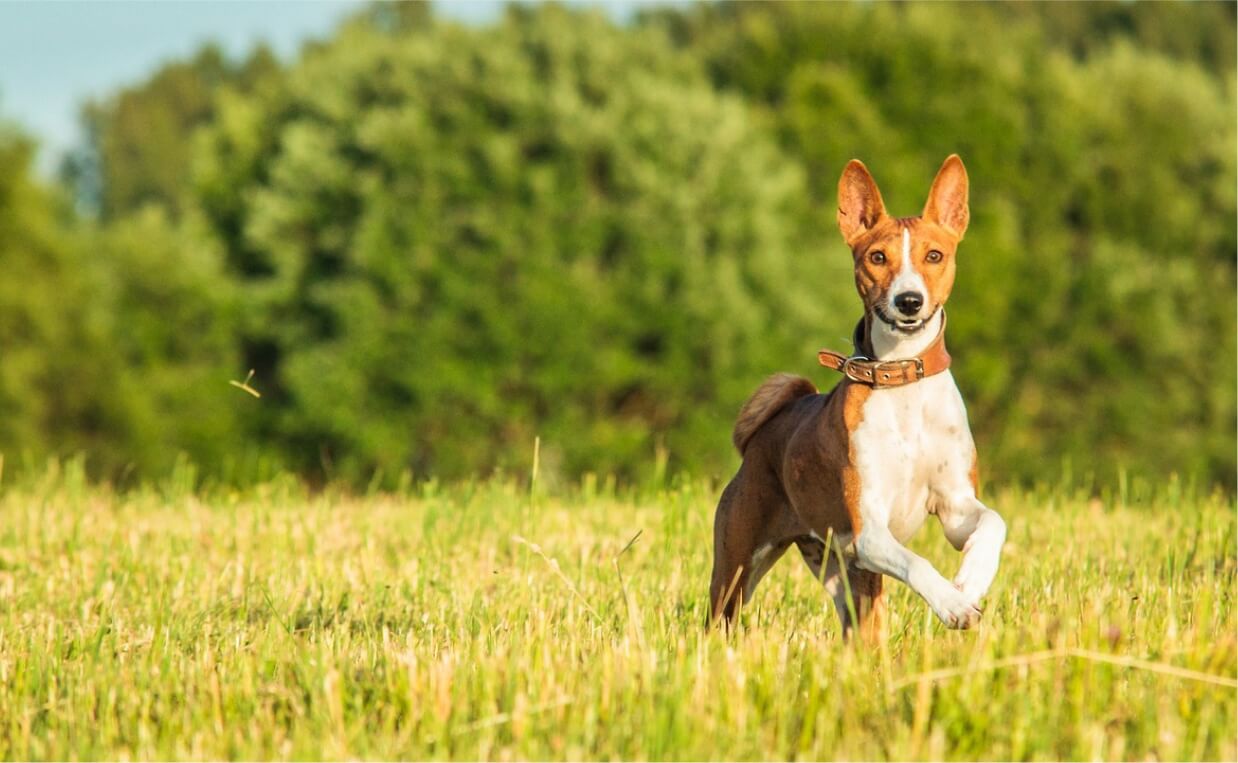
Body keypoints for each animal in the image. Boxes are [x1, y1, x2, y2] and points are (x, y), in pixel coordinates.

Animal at [713, 154, 1010, 639]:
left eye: (934, 255)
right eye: (877, 257)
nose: (909, 300)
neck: (902, 381)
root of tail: (767, 432)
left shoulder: (955, 507)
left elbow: (993, 523)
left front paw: (970, 580)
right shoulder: (869, 530)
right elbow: (918, 562)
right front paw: (952, 604)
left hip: (844, 575)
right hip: (739, 567)